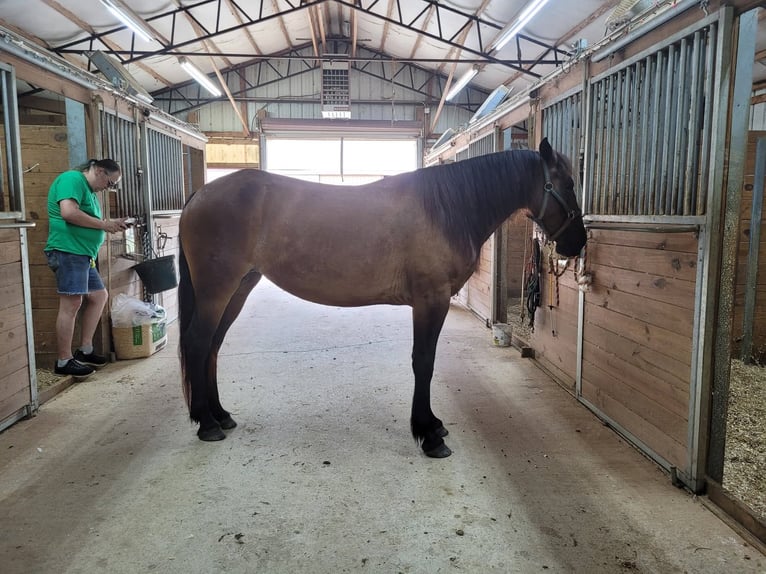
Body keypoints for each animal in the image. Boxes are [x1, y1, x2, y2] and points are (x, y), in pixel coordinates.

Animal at [177, 138, 586, 457]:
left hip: (239, 288)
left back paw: (220, 415)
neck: (447, 208)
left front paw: (433, 425)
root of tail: (200, 195)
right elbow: (424, 362)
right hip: (217, 289)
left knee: (212, 346)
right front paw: (428, 434)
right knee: (198, 344)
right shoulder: (430, 300)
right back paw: (206, 423)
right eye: (565, 183)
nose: (578, 242)